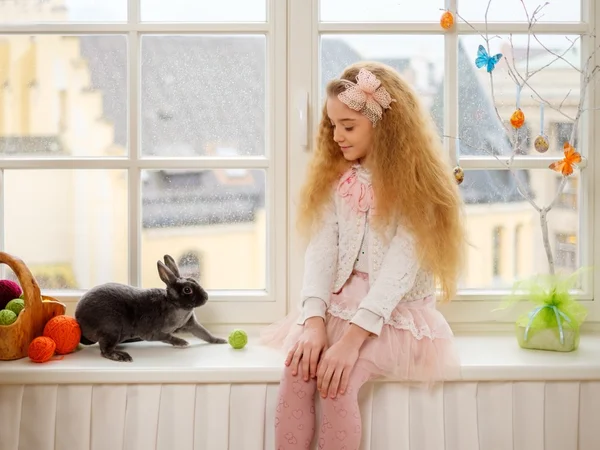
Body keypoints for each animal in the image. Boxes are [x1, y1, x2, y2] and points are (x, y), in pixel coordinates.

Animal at [74, 253, 226, 362]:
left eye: (194, 281)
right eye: (187, 290)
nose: (206, 297)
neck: (174, 305)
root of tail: (79, 319)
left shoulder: (191, 324)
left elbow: (204, 333)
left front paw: (219, 340)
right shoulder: (155, 333)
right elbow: (168, 337)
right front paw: (182, 342)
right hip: (111, 328)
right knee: (105, 350)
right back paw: (122, 356)